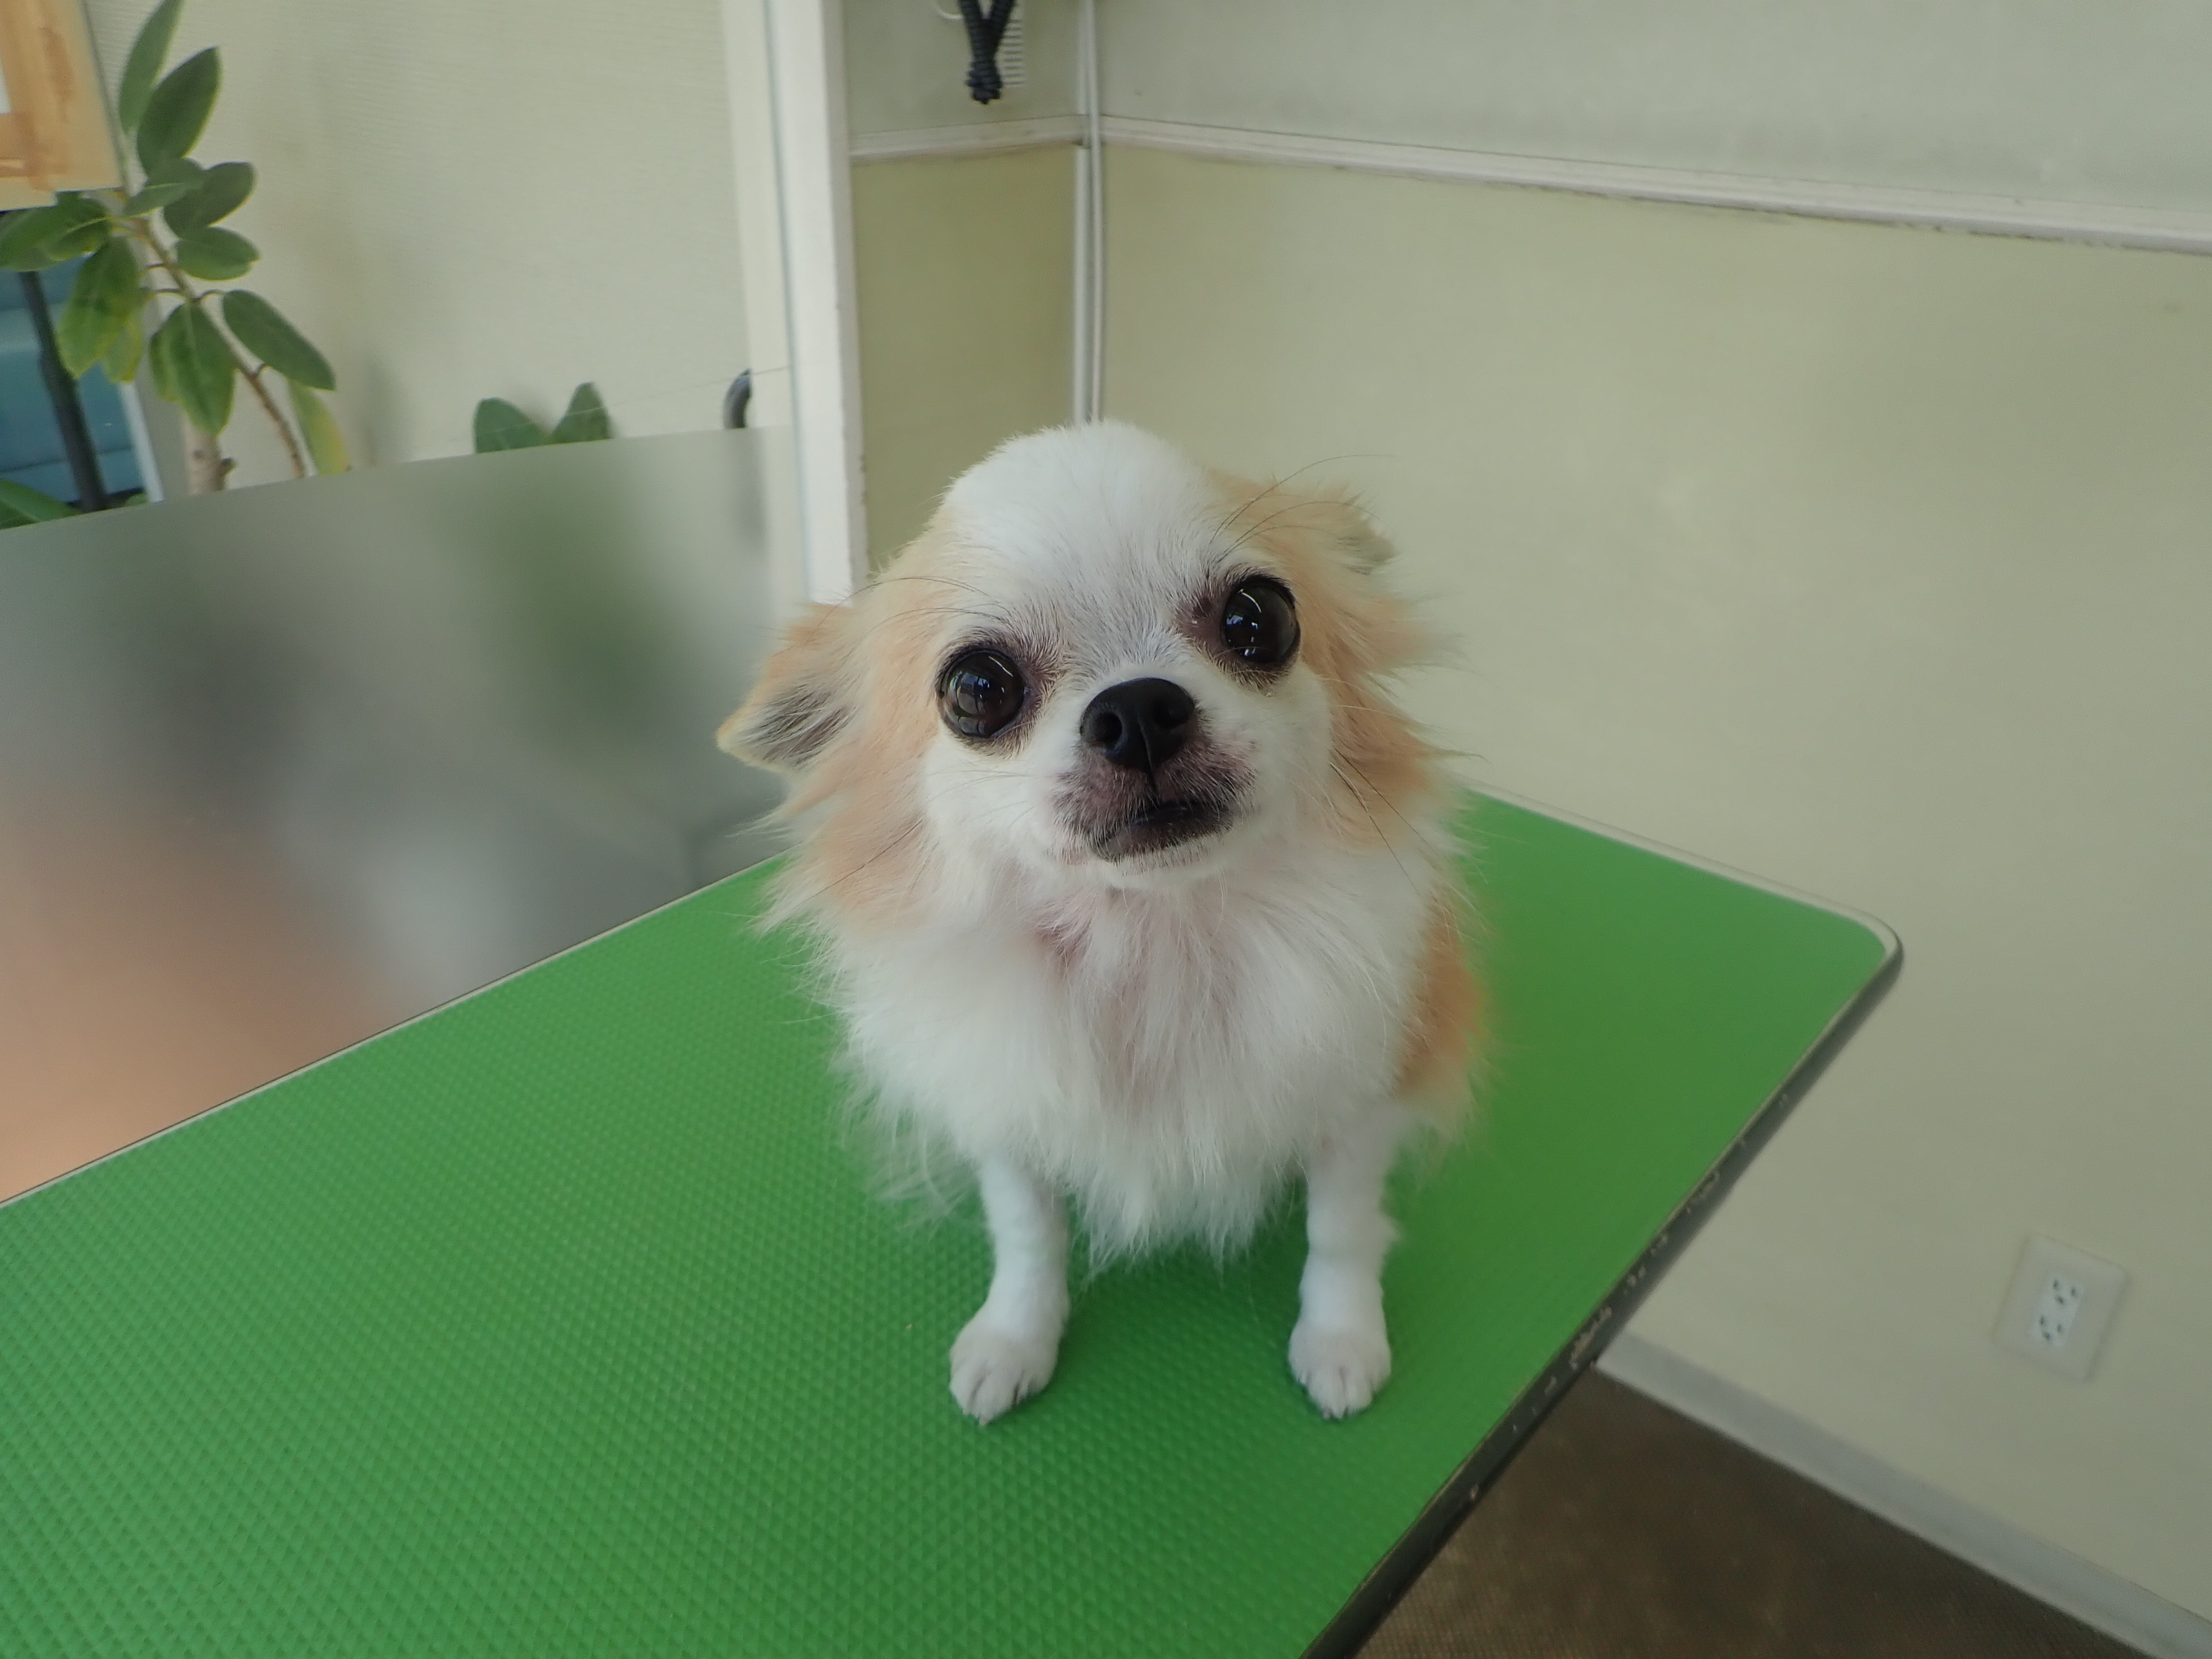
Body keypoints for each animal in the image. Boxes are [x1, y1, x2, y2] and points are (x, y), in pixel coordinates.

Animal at [720, 422, 1477, 1421]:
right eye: (977, 688)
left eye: (1260, 620)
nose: (1137, 708)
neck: (1154, 932)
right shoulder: (1011, 1111)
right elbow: (1027, 1235)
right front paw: (1015, 1338)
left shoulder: (1359, 1099)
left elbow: (1342, 1231)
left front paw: (1342, 1338)